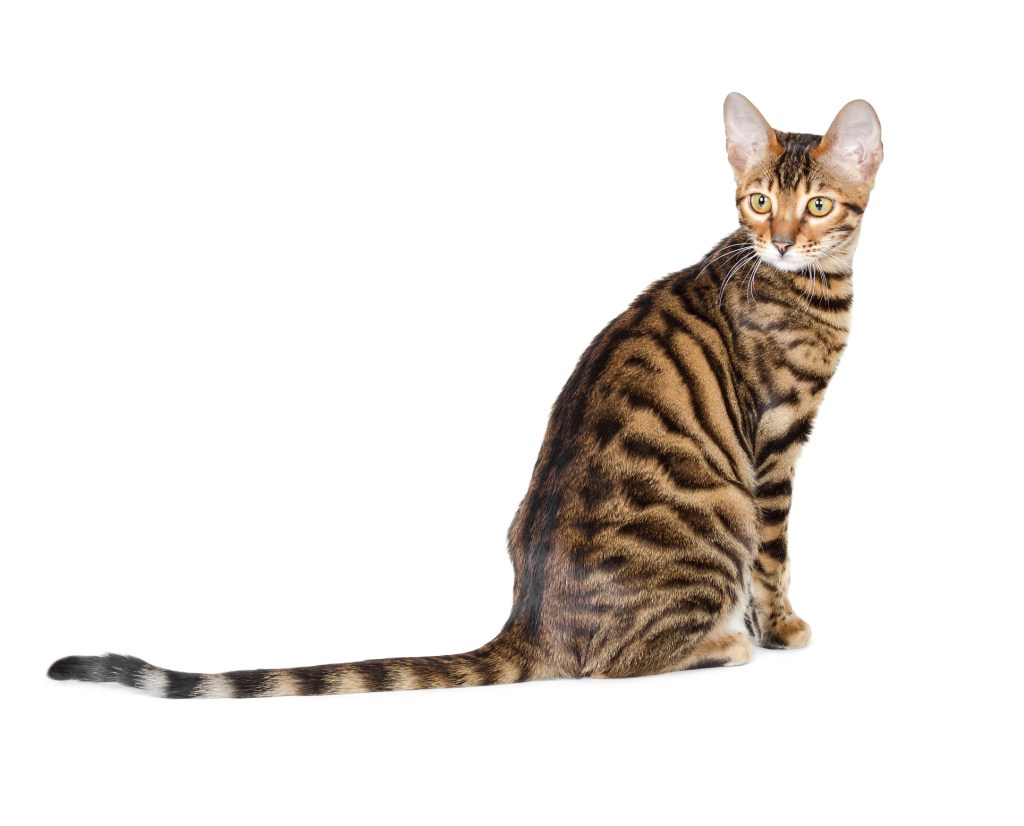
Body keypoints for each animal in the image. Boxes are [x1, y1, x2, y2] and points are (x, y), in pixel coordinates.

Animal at [46, 92, 880, 696]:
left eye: (818, 206)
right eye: (757, 201)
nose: (780, 242)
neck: (801, 284)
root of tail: (527, 621)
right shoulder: (775, 443)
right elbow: (775, 557)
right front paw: (781, 627)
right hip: (726, 510)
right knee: (616, 662)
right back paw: (727, 641)